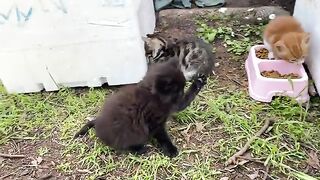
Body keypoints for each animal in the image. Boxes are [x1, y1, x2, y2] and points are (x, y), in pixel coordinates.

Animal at [74, 58, 206, 157]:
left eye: (182, 87)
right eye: (177, 91)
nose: (181, 92)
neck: (153, 94)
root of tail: (98, 121)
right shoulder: (155, 120)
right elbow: (163, 135)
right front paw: (170, 149)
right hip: (127, 134)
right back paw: (139, 149)